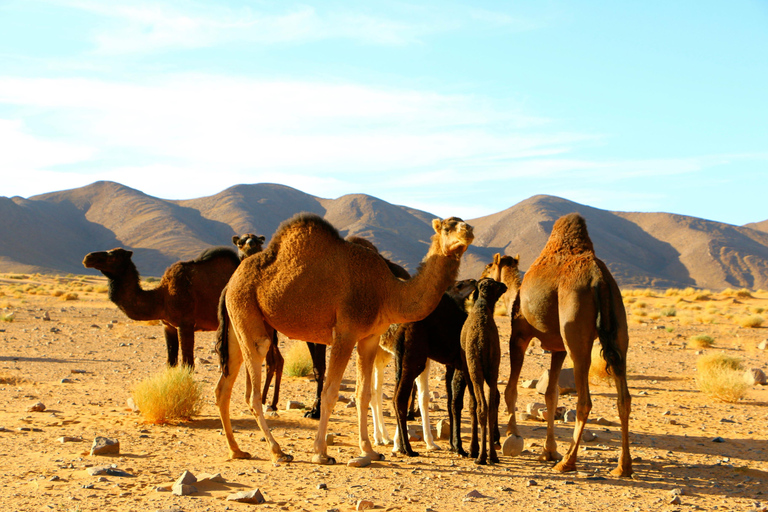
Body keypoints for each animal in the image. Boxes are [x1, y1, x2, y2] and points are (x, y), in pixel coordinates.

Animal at [82, 234, 266, 370]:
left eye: (113, 255)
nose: (88, 257)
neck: (161, 297)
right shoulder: (167, 325)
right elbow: (171, 362)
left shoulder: (186, 324)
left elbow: (187, 364)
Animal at [213, 212, 472, 464]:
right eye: (448, 227)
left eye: (463, 223)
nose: (468, 230)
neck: (387, 292)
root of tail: (229, 284)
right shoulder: (345, 333)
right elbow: (330, 393)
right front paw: (321, 452)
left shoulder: (369, 337)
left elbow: (363, 394)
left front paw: (369, 450)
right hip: (247, 311)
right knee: (253, 388)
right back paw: (278, 451)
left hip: (237, 324)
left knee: (223, 387)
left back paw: (236, 450)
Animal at [460, 278, 508, 466]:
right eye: (497, 285)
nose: (504, 286)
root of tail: (483, 341)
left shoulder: (467, 367)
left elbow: (472, 404)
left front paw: (472, 450)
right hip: (493, 367)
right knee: (491, 406)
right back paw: (492, 455)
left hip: (475, 369)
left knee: (481, 406)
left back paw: (480, 456)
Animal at [500, 214, 632, 478]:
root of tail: (599, 279)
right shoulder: (557, 348)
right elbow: (551, 395)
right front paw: (548, 451)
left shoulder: (518, 334)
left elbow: (511, 389)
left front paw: (512, 435)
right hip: (619, 326)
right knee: (624, 396)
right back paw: (623, 466)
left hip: (574, 328)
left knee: (585, 400)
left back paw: (569, 462)